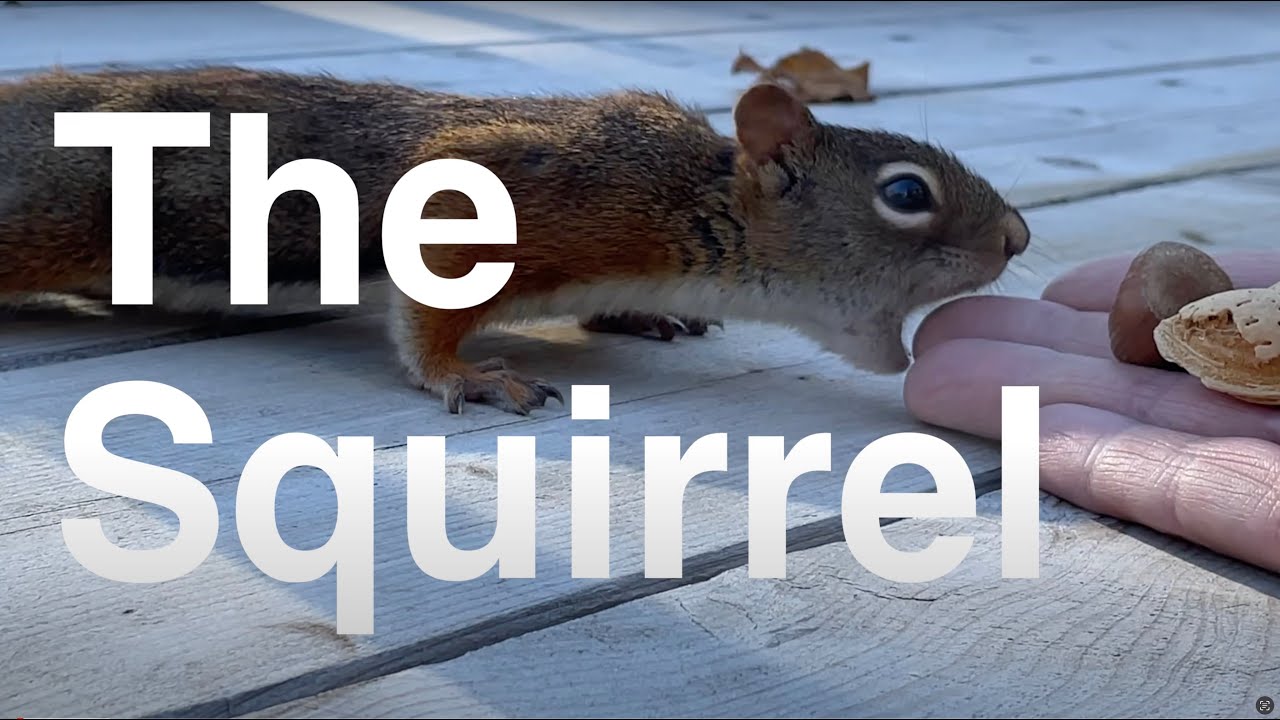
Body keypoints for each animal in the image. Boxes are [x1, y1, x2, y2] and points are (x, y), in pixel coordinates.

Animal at [0, 66, 1029, 415]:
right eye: (906, 193)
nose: (1019, 236)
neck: (683, 206)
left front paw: (638, 319)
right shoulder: (509, 192)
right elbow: (427, 315)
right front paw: (468, 375)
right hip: (42, 217)